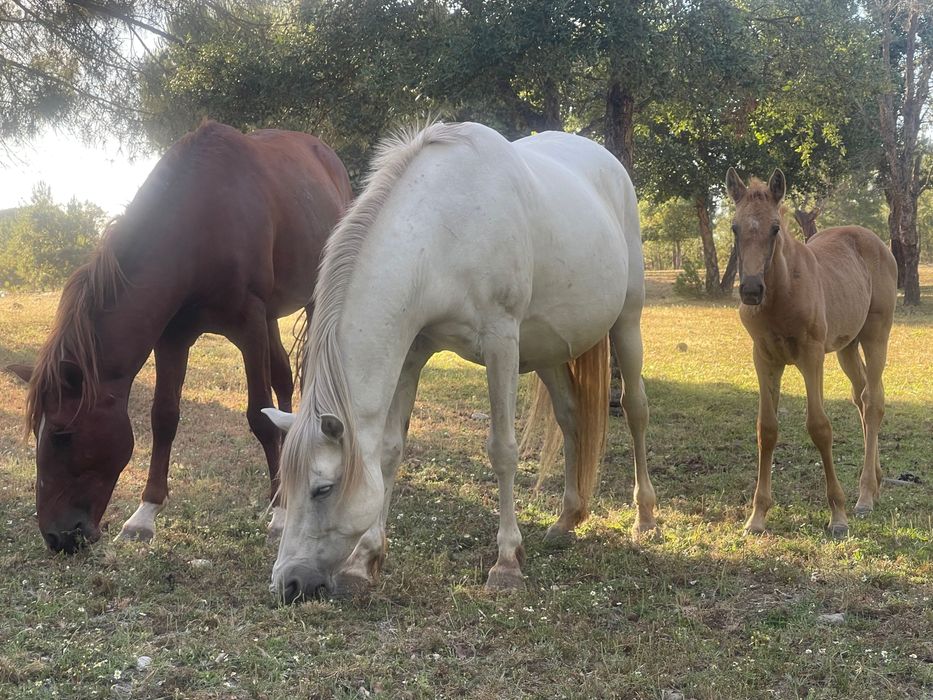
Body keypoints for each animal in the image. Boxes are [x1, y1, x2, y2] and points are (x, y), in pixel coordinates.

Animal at [7, 121, 352, 553]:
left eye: (61, 435)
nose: (57, 537)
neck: (201, 225)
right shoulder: (173, 337)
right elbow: (164, 416)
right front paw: (144, 514)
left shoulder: (250, 326)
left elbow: (259, 415)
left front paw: (280, 511)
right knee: (283, 379)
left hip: (314, 299)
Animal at [262, 121, 658, 602]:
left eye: (322, 489)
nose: (288, 583)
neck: (444, 229)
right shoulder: (413, 350)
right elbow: (390, 450)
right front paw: (364, 561)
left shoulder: (502, 343)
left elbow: (503, 450)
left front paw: (506, 563)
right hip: (547, 349)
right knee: (571, 418)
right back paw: (567, 519)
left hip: (627, 321)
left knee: (636, 410)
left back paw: (645, 517)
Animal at [725, 168, 897, 537]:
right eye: (734, 227)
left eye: (775, 228)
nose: (750, 290)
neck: (782, 291)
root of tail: (875, 240)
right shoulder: (764, 358)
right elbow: (767, 429)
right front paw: (757, 517)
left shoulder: (811, 355)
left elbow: (819, 427)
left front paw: (838, 515)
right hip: (847, 345)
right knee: (861, 395)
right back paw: (875, 483)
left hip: (876, 334)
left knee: (873, 400)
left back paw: (864, 496)